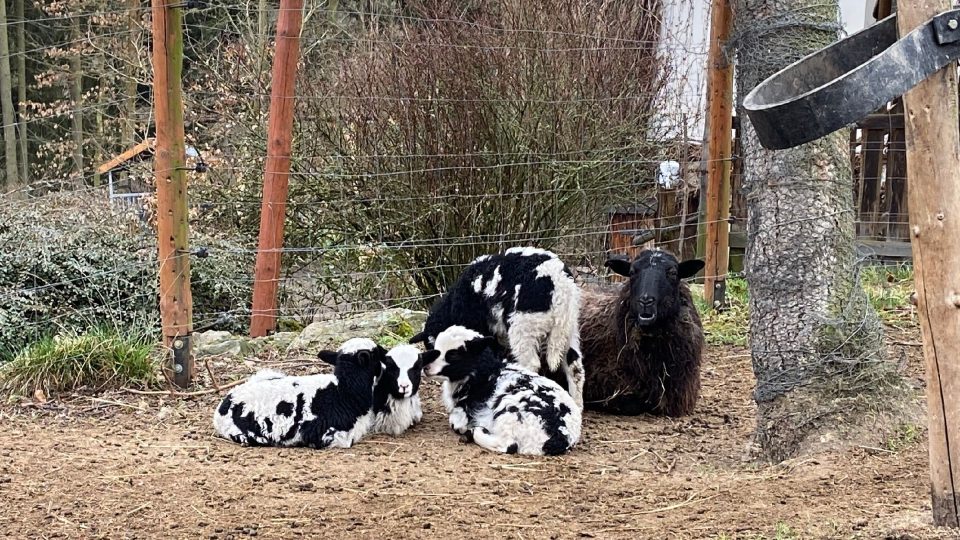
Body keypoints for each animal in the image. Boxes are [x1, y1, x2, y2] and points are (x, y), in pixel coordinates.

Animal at [406, 247, 580, 408]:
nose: (428, 368)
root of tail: (559, 283)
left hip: (524, 326)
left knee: (531, 363)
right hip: (569, 328)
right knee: (575, 366)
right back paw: (577, 404)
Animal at [422, 324, 584, 456]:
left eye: (453, 354)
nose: (426, 368)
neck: (485, 373)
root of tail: (561, 436)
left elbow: (456, 424)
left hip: (509, 410)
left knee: (510, 445)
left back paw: (477, 431)